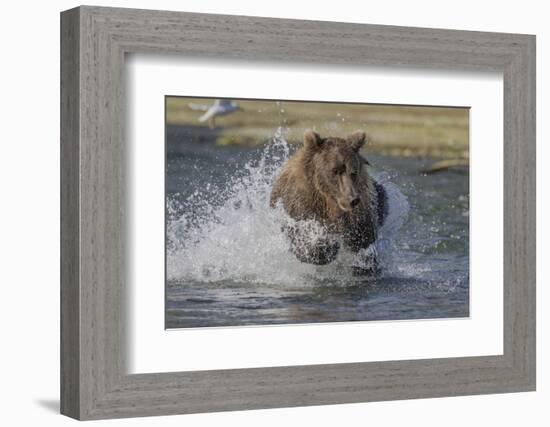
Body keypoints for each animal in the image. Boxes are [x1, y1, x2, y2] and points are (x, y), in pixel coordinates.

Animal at [270, 129, 390, 272]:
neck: (329, 201)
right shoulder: (302, 203)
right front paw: (326, 247)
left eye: (353, 172)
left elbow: (363, 237)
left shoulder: (362, 209)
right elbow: (299, 232)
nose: (352, 199)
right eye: (335, 170)